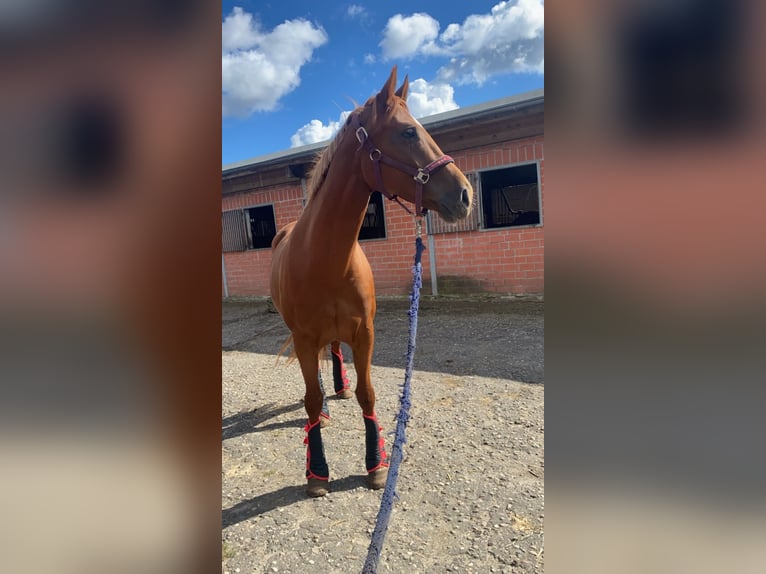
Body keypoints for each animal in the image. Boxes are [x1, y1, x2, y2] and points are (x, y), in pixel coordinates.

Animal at [270, 68, 474, 500]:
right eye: (408, 132)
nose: (465, 194)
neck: (325, 259)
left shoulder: (365, 333)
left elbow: (368, 394)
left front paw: (376, 465)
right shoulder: (303, 337)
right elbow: (310, 398)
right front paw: (317, 471)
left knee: (333, 352)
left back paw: (341, 387)